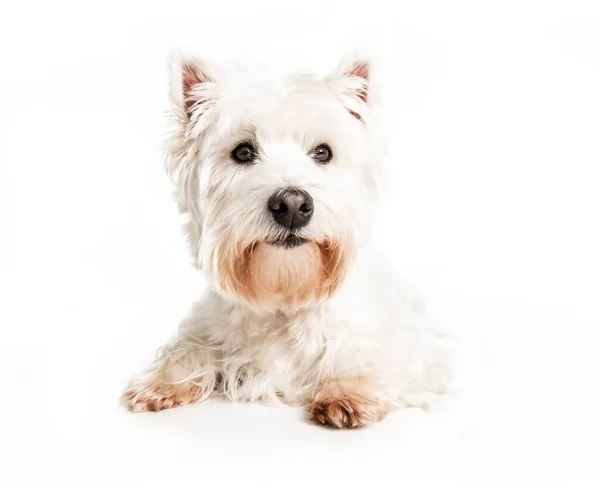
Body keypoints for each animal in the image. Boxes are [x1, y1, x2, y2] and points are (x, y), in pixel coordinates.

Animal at [122, 51, 450, 430]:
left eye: (323, 152)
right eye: (242, 152)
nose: (292, 205)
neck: (285, 293)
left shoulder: (409, 347)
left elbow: (365, 353)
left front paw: (347, 390)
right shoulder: (209, 326)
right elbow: (189, 348)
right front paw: (160, 383)